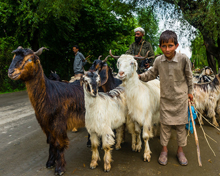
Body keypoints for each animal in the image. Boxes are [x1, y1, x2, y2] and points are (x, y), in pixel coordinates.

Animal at [8, 47, 85, 175]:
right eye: (13, 57)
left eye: (29, 59)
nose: (10, 72)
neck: (49, 94)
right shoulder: (45, 123)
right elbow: (51, 142)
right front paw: (50, 162)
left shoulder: (58, 123)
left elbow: (59, 143)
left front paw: (59, 168)